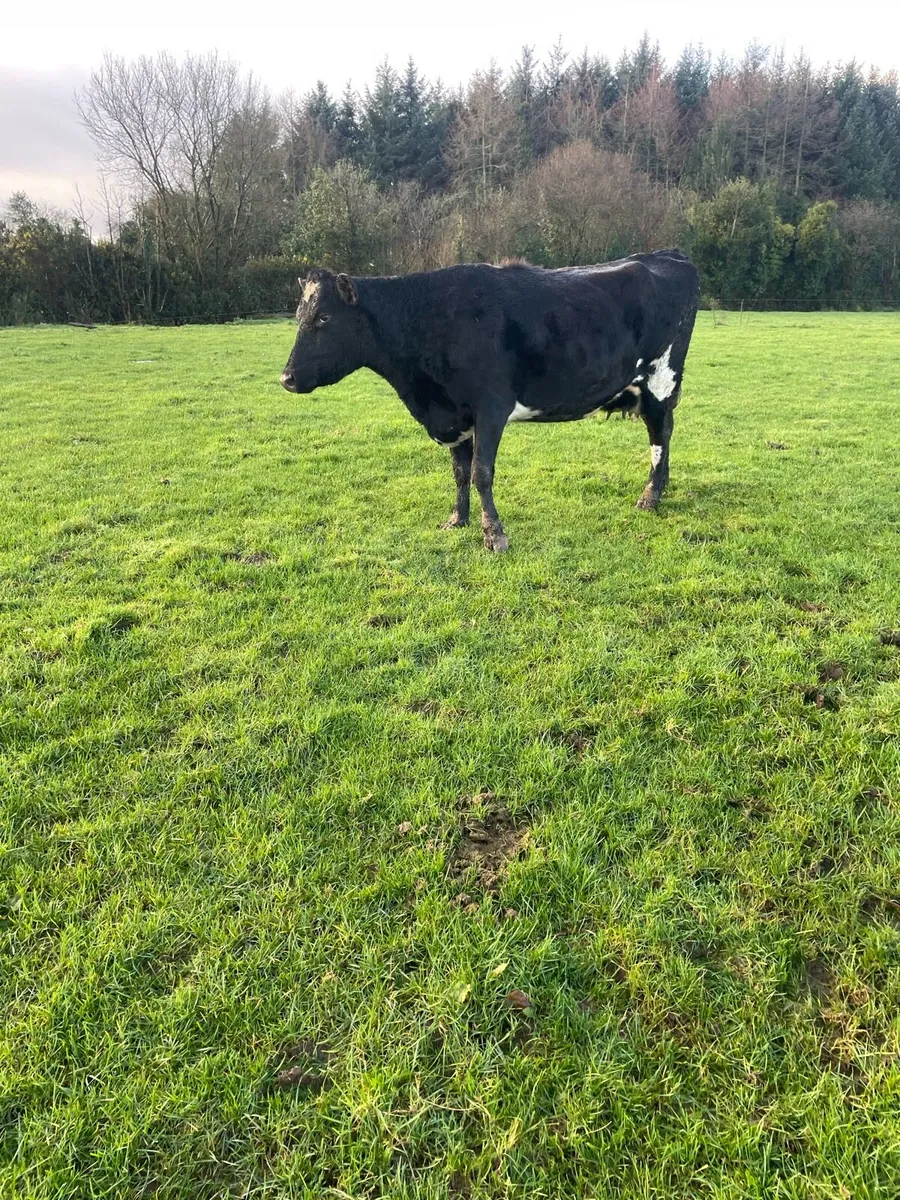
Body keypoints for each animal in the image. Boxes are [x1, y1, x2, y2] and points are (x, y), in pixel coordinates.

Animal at [280, 251, 699, 551]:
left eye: (323, 317)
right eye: (299, 314)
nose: (287, 378)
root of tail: (667, 255)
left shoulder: (492, 407)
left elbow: (481, 473)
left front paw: (494, 534)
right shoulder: (454, 416)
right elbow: (460, 472)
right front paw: (457, 520)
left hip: (660, 380)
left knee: (660, 435)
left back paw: (650, 497)